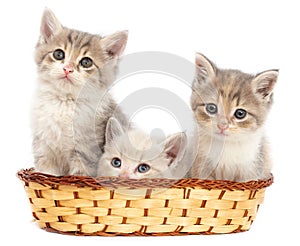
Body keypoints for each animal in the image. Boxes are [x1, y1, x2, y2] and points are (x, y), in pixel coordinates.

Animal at [191, 52, 278, 182]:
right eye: (211, 108)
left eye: (240, 114)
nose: (222, 125)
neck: (226, 147)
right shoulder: (201, 168)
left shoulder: (251, 171)